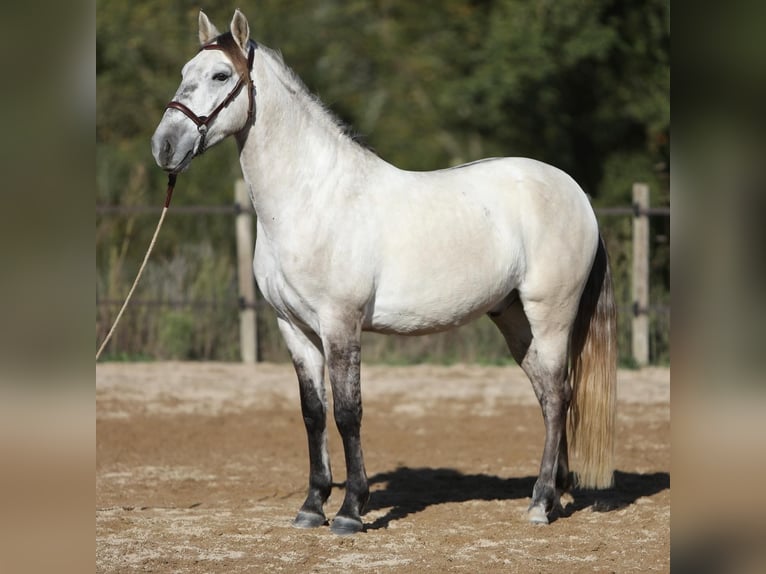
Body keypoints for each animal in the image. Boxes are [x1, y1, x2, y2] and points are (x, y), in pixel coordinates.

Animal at [150, 9, 616, 536]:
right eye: (184, 72)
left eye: (220, 75)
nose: (164, 146)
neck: (311, 198)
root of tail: (575, 192)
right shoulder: (294, 327)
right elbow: (314, 414)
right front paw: (312, 506)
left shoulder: (340, 323)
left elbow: (349, 413)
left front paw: (351, 510)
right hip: (514, 318)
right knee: (547, 394)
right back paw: (555, 492)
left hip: (550, 314)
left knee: (557, 395)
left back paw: (539, 504)